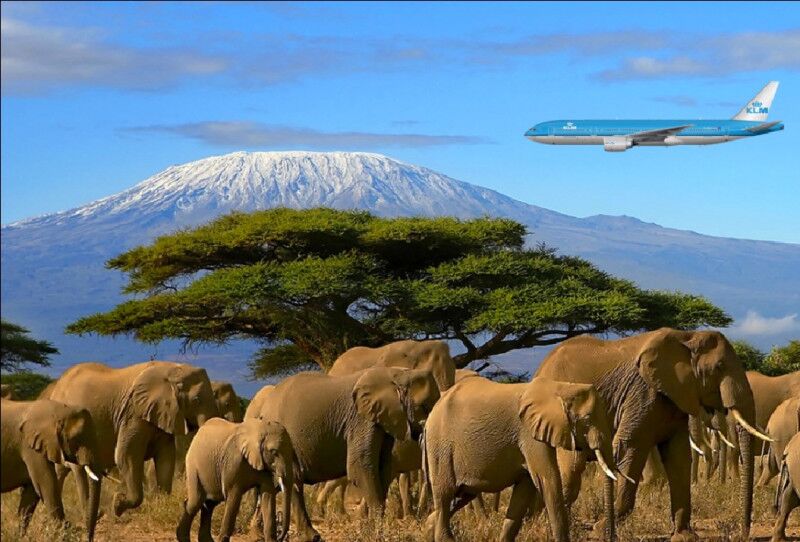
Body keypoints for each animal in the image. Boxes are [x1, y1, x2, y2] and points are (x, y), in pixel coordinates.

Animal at [0, 398, 104, 540]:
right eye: (77, 438)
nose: (89, 538)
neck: (58, 410)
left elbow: (30, 494)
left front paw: (19, 538)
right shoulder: (31, 450)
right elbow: (46, 485)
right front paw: (63, 536)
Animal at [43, 362, 219, 520]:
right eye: (196, 400)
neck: (174, 369)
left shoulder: (162, 414)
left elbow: (166, 458)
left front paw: (161, 505)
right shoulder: (133, 414)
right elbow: (125, 456)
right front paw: (117, 505)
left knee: (60, 470)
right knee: (78, 469)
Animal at [250, 368, 438, 540]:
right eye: (424, 406)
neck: (397, 373)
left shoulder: (382, 421)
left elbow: (383, 469)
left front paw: (368, 530)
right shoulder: (361, 420)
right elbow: (359, 468)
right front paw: (376, 535)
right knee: (293, 481)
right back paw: (309, 536)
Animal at [424, 378, 620, 542]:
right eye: (587, 420)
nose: (610, 537)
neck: (560, 388)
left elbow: (524, 489)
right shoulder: (529, 434)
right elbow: (547, 480)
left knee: (460, 496)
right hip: (440, 446)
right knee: (444, 494)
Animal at [536, 330, 772, 540]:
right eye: (719, 367)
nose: (744, 534)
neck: (687, 337)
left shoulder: (676, 398)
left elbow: (679, 457)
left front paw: (684, 536)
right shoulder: (643, 393)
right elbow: (631, 448)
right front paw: (600, 531)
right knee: (572, 468)